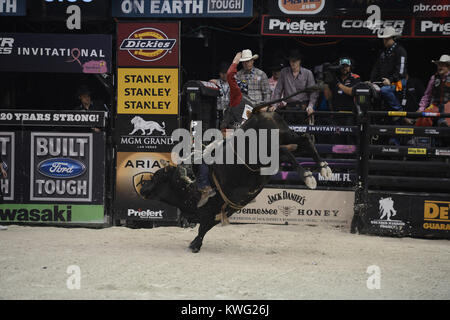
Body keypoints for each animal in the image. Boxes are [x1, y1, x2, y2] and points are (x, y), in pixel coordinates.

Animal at [139, 84, 332, 252]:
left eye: (156, 177)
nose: (142, 187)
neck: (187, 185)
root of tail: (257, 113)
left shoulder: (210, 210)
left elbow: (203, 227)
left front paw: (194, 244)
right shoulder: (223, 209)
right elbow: (207, 226)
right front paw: (195, 243)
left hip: (266, 153)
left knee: (285, 151)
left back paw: (308, 176)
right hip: (286, 135)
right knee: (306, 139)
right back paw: (323, 169)